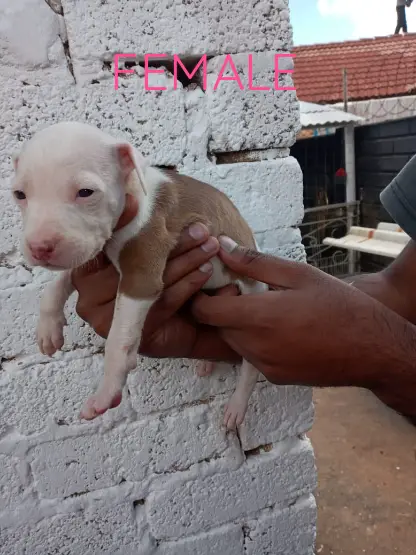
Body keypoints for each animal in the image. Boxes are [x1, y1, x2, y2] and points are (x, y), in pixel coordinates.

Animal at [13, 122, 268, 430]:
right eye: (19, 195)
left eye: (85, 192)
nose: (39, 247)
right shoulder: (91, 247)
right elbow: (57, 283)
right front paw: (48, 329)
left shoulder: (141, 273)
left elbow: (117, 339)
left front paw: (106, 392)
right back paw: (207, 362)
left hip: (252, 302)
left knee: (251, 365)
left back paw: (237, 406)